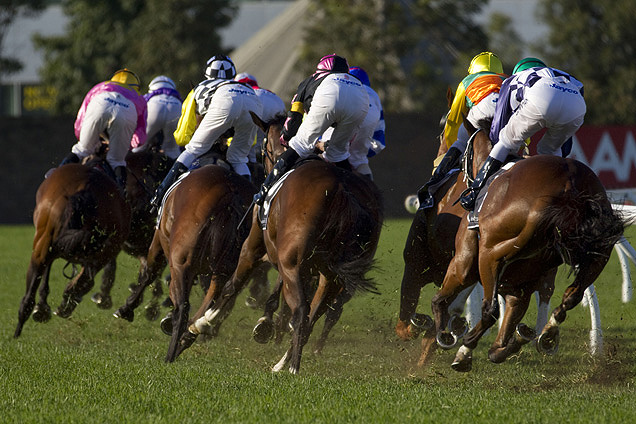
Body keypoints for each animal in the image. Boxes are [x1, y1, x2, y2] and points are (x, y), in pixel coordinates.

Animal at [14, 163, 130, 338]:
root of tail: (85, 186)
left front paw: (42, 308)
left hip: (45, 247)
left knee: (29, 297)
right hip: (103, 250)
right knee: (83, 280)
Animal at [113, 164, 255, 362]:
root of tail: (230, 191)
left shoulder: (159, 240)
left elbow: (149, 273)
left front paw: (127, 308)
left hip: (181, 263)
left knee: (183, 307)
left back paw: (171, 354)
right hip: (224, 271)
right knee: (211, 302)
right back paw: (186, 338)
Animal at [171, 114, 386, 372]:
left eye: (263, 148)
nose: (262, 167)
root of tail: (341, 189)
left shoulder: (252, 247)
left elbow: (231, 287)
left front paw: (197, 327)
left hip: (293, 264)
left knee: (302, 311)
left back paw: (292, 367)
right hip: (330, 276)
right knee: (311, 317)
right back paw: (282, 363)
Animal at [430, 128, 624, 372]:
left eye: (464, 152)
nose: (445, 171)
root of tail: (569, 185)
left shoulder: (464, 261)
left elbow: (442, 298)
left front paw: (446, 335)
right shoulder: (519, 287)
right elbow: (500, 341)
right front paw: (515, 340)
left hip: (491, 251)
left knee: (490, 307)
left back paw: (465, 349)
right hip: (602, 250)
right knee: (572, 295)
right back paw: (547, 334)